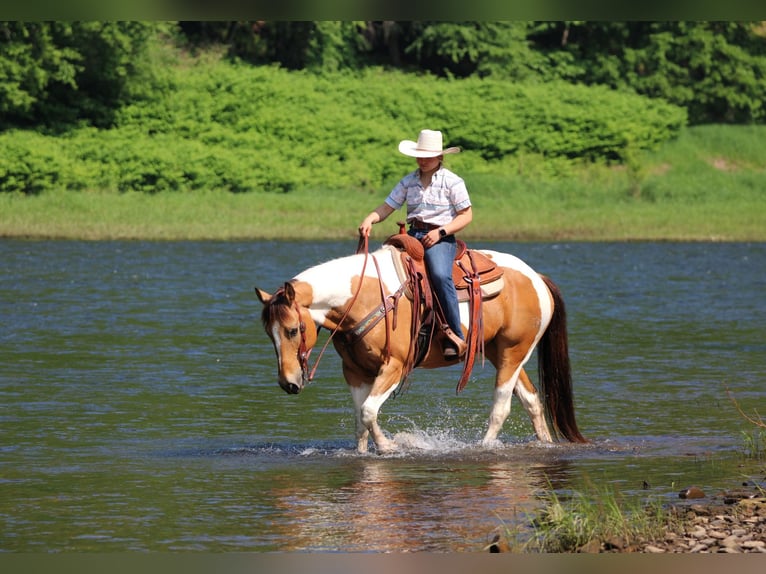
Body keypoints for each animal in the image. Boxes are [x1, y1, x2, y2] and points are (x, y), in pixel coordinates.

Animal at [255, 241, 586, 453]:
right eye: (269, 334)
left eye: (293, 330)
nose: (288, 384)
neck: (364, 297)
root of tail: (536, 278)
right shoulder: (355, 372)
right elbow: (360, 419)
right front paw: (365, 451)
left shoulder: (395, 366)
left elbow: (368, 412)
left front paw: (390, 445)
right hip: (501, 353)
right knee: (531, 400)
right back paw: (544, 443)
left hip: (513, 352)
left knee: (501, 406)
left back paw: (483, 446)